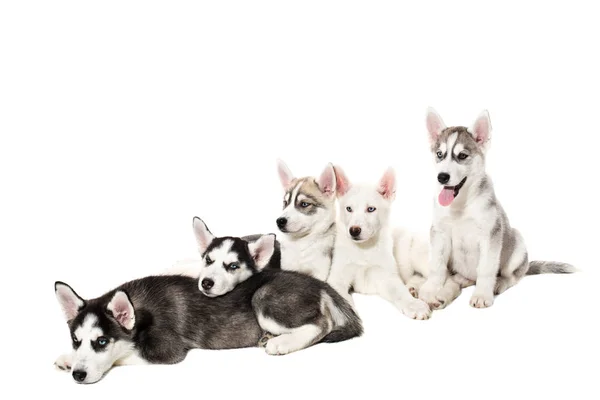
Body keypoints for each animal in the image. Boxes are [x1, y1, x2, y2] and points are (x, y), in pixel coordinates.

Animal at [192, 219, 360, 356]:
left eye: (233, 266)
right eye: (208, 260)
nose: (206, 283)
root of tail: (318, 284)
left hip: (263, 296)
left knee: (323, 324)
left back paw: (283, 342)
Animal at [326, 167, 434, 320]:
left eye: (371, 209)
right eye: (349, 209)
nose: (354, 231)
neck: (364, 249)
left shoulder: (387, 277)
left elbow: (400, 292)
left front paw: (413, 305)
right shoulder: (337, 280)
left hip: (419, 256)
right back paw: (413, 288)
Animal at [418, 108, 576, 308]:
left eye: (462, 156)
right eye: (439, 154)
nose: (442, 177)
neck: (461, 204)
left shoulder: (490, 234)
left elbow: (486, 269)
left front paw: (482, 295)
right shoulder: (439, 232)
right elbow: (437, 266)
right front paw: (430, 289)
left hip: (517, 244)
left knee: (513, 277)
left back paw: (499, 283)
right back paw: (452, 288)